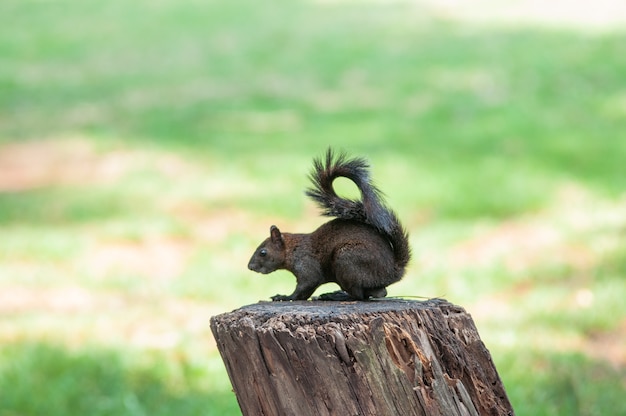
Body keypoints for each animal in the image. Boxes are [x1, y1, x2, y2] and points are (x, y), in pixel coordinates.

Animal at [246, 148, 412, 300]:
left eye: (263, 252)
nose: (250, 267)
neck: (293, 249)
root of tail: (393, 271)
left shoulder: (307, 267)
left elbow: (304, 287)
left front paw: (285, 297)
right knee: (379, 293)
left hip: (347, 260)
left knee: (359, 296)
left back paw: (336, 296)